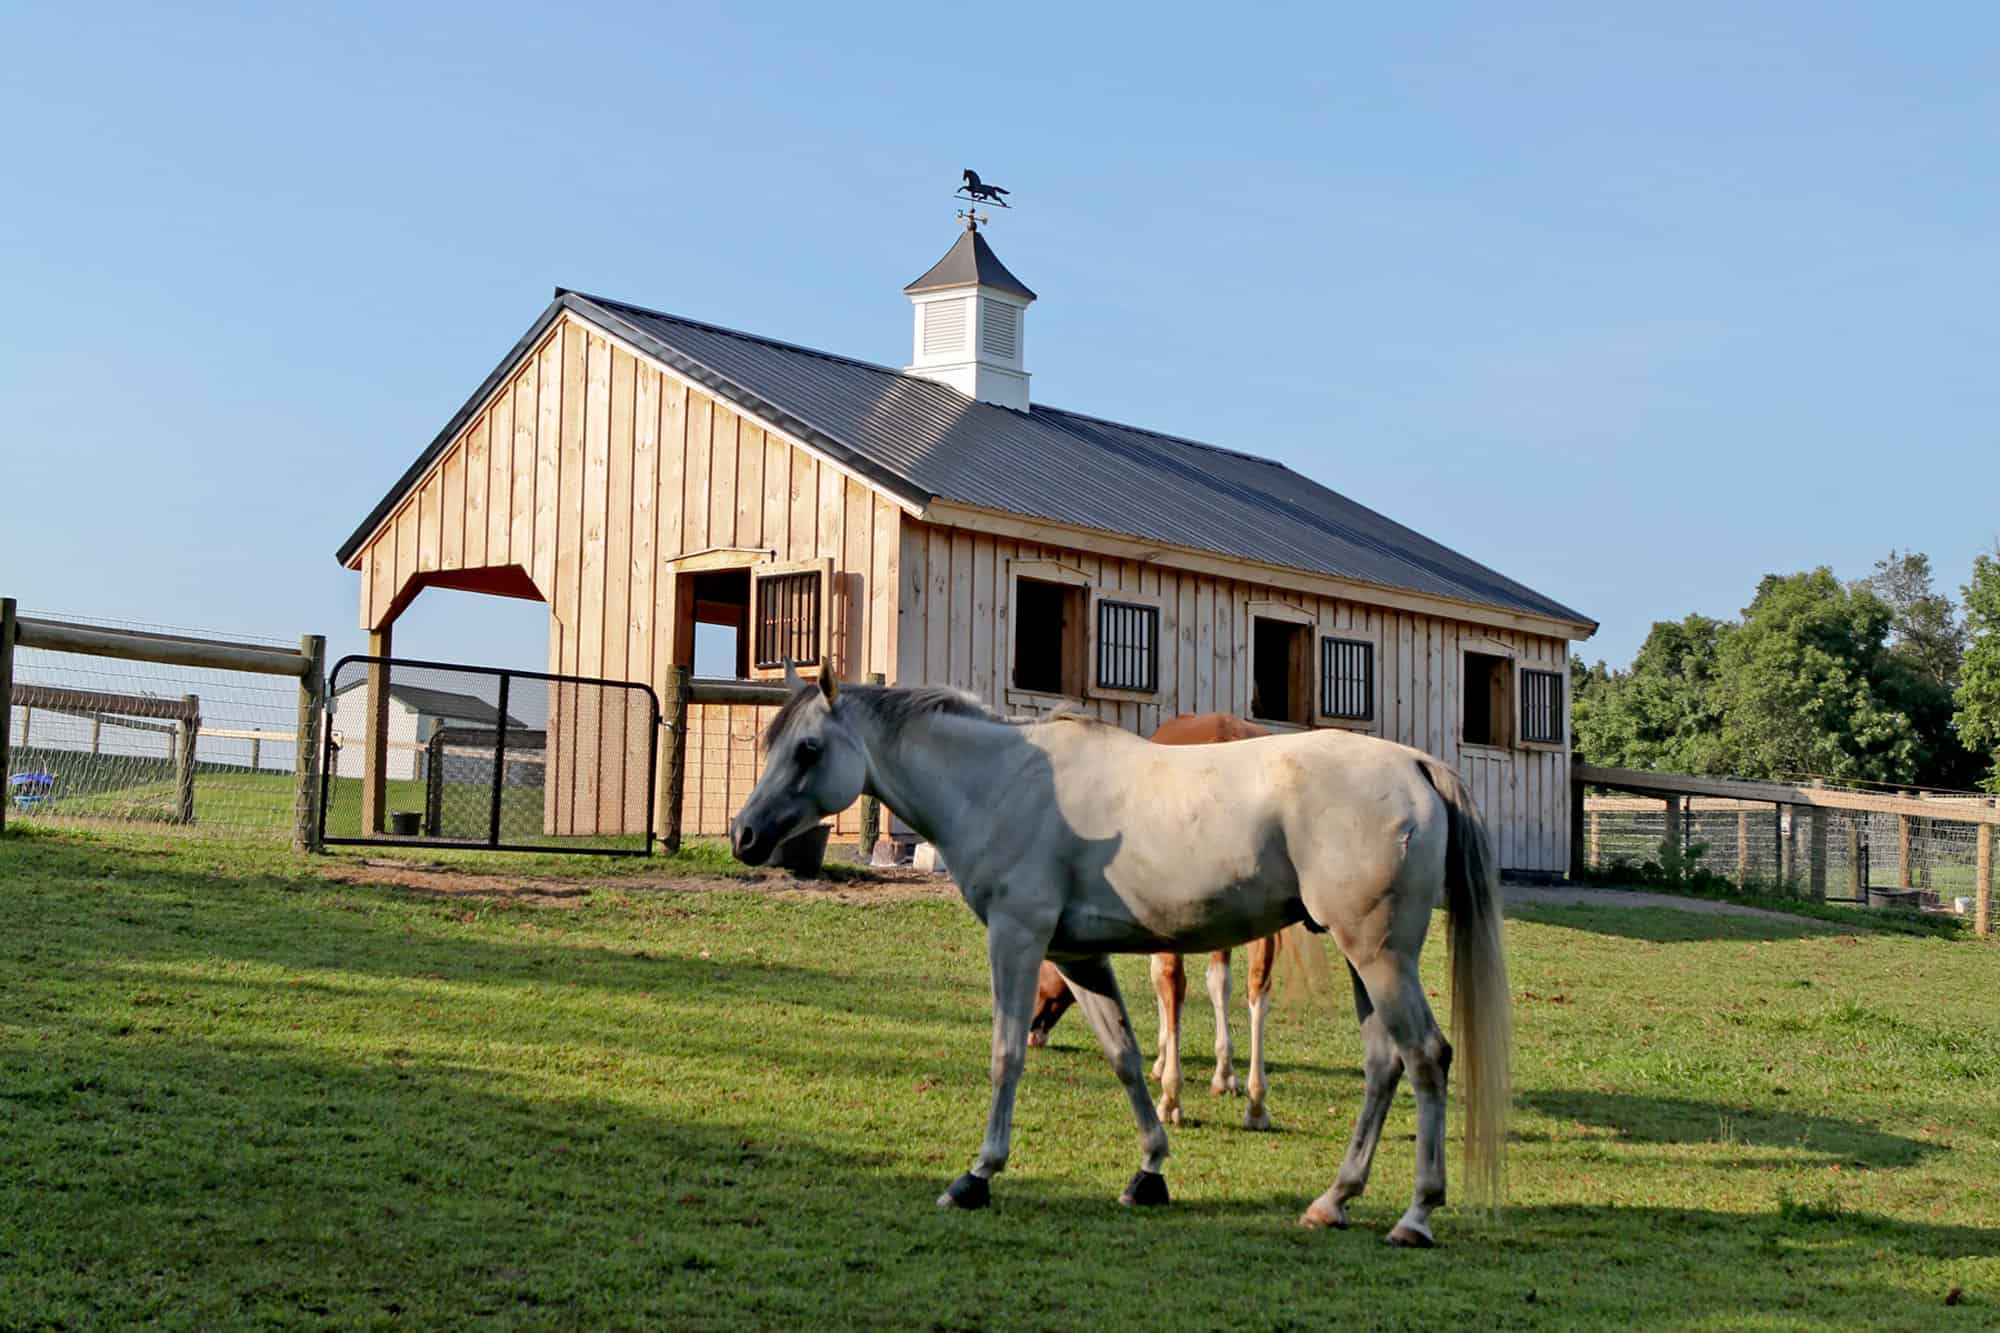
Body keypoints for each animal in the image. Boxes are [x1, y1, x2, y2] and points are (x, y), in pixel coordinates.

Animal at [1026, 713, 1286, 1133]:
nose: (1032, 1032)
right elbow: (1219, 984)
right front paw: (1224, 1074)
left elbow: (1164, 986)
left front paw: (1165, 1065)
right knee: (1257, 988)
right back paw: (1257, 1104)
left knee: (1174, 984)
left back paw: (1171, 1099)